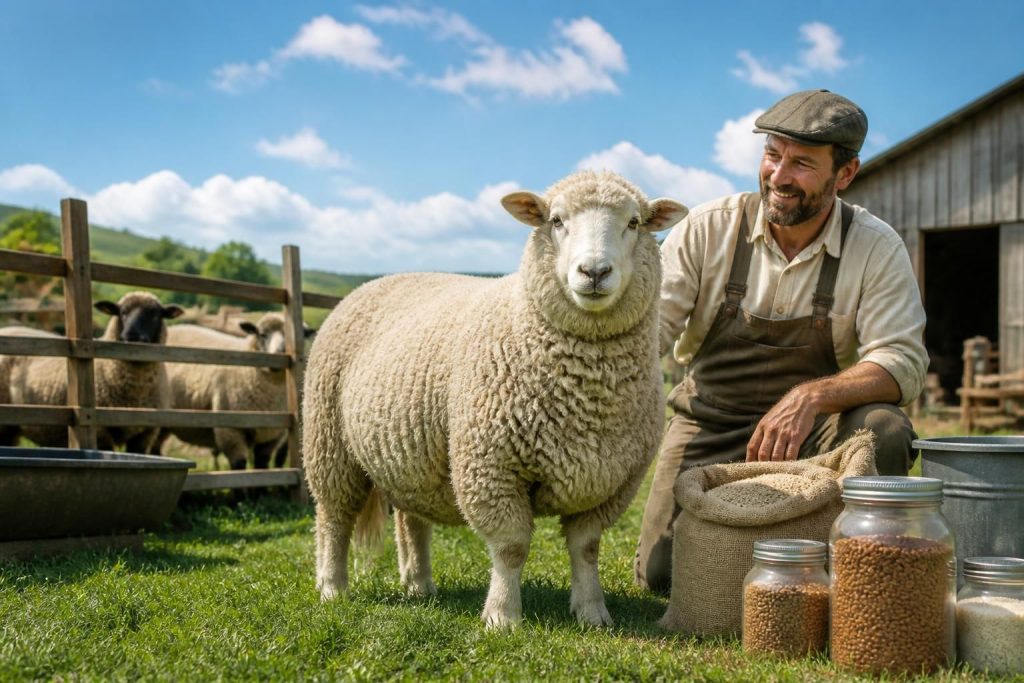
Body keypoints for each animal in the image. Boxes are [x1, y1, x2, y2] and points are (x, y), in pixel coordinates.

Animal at [162, 313, 314, 469]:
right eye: (262, 334)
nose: (279, 353)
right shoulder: (231, 431)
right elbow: (239, 465)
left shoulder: (272, 436)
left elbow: (262, 467)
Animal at [303, 170, 688, 627]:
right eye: (556, 220)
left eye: (633, 223)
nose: (594, 271)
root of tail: (376, 281)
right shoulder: (491, 465)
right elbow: (511, 548)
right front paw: (502, 617)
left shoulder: (608, 484)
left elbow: (586, 548)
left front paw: (592, 612)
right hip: (329, 444)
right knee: (333, 519)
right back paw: (332, 588)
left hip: (409, 456)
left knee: (412, 521)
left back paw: (419, 583)